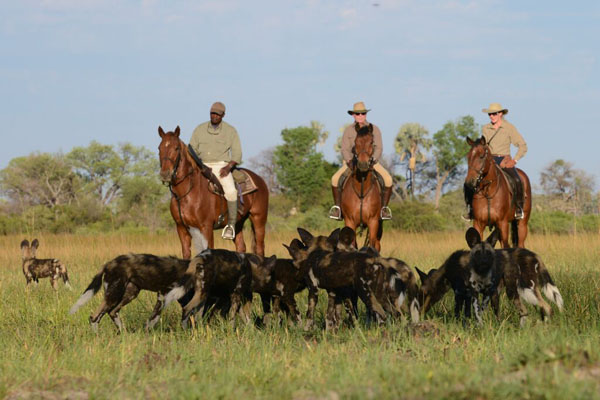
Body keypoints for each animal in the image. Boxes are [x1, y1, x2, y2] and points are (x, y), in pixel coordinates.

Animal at [158, 126, 268, 258]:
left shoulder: (206, 228)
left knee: (260, 248)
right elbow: (186, 254)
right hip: (238, 223)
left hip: (259, 220)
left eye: (176, 148)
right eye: (159, 148)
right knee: (241, 247)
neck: (187, 194)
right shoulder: (181, 228)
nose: (165, 174)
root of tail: (260, 179)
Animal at [340, 123, 382, 252]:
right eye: (356, 142)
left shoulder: (373, 222)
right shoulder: (349, 221)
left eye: (371, 142)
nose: (363, 164)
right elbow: (353, 245)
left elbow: (372, 245)